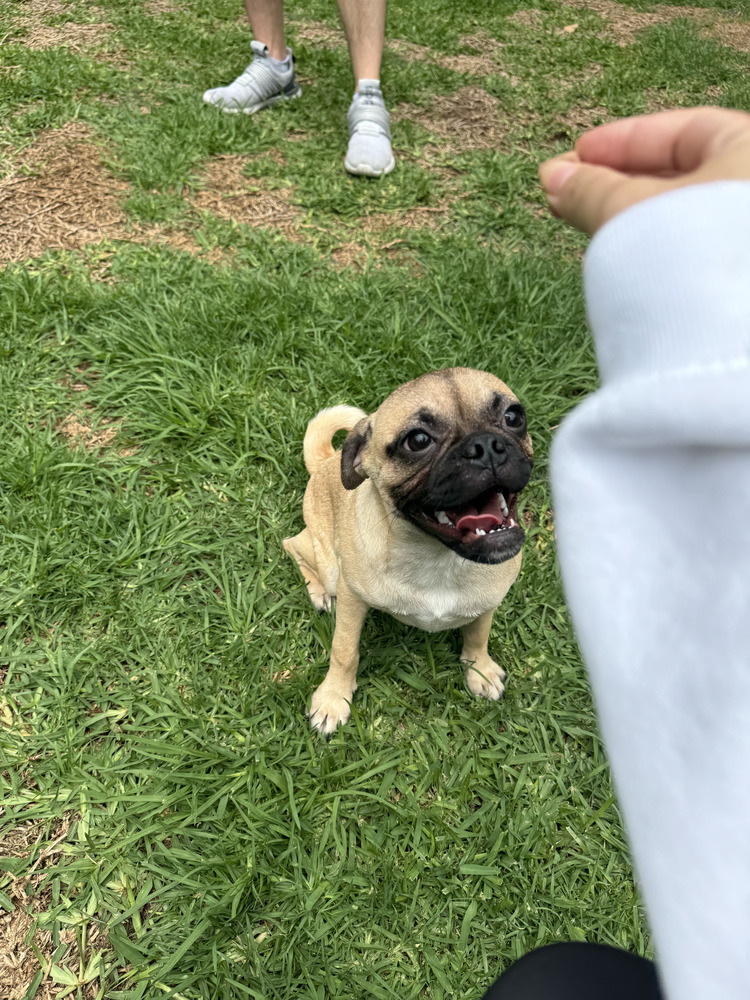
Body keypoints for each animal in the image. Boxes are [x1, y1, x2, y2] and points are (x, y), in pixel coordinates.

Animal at [284, 368, 536, 736]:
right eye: (417, 441)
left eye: (514, 417)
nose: (486, 446)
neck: (439, 557)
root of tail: (325, 462)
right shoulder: (351, 599)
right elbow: (344, 650)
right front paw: (333, 698)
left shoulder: (488, 602)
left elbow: (478, 635)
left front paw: (480, 669)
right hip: (328, 566)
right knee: (293, 547)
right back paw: (318, 593)